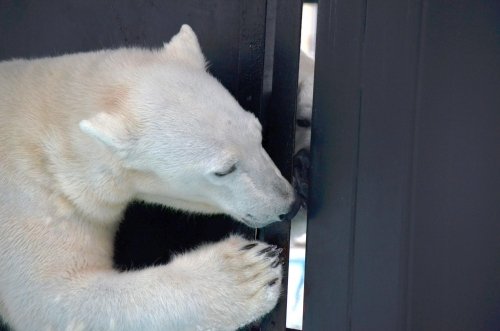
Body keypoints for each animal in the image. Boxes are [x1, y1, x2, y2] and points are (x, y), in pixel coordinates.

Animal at [0, 24, 300, 330]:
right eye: (224, 169)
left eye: (258, 134)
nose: (289, 205)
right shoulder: (33, 206)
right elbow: (57, 302)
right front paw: (251, 269)